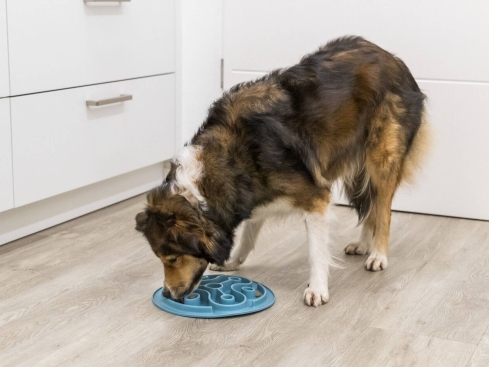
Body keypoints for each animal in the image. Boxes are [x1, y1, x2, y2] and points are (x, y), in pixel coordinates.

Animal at [135, 36, 428, 308]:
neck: (229, 159)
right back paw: (363, 244)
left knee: (383, 207)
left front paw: (317, 289)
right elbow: (249, 233)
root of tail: (391, 57)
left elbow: (316, 252)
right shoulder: (253, 192)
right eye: (161, 259)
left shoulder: (315, 198)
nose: (167, 294)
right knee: (371, 204)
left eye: (173, 258)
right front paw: (233, 261)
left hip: (382, 157)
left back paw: (378, 254)